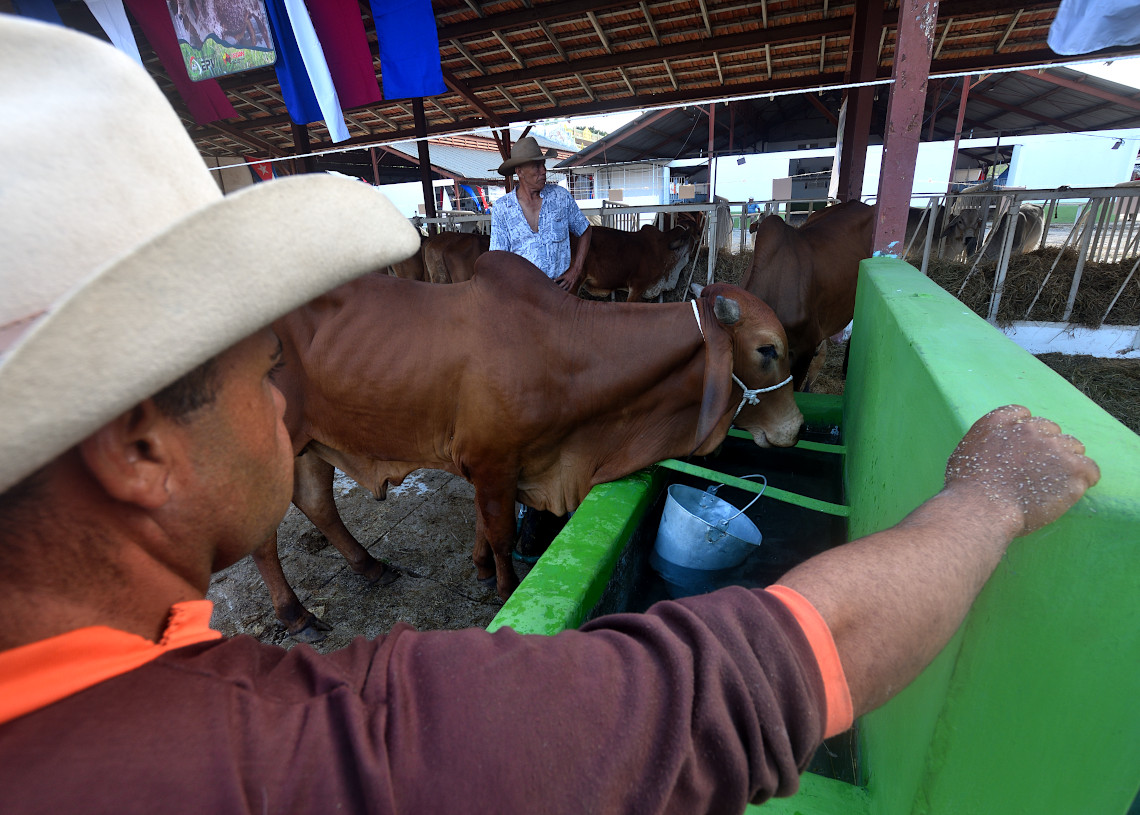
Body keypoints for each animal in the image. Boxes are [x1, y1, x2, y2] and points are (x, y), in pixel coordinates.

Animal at [256, 251, 802, 642]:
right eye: (767, 349)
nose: (795, 428)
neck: (567, 351)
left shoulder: (500, 465)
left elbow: (483, 523)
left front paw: (480, 569)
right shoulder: (493, 461)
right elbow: (500, 532)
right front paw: (503, 588)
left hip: (312, 444)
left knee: (317, 503)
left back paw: (371, 568)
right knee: (265, 538)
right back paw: (297, 616)